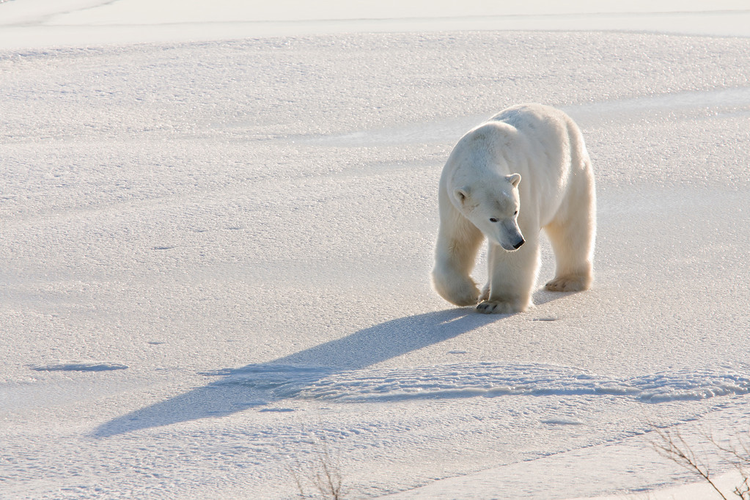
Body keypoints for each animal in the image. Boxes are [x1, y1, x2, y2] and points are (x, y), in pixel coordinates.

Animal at [431, 103, 596, 314]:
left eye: (515, 212)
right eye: (493, 218)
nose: (517, 241)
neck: (482, 148)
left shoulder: (523, 187)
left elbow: (516, 252)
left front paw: (496, 303)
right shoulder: (452, 200)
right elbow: (457, 240)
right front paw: (468, 294)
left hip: (572, 175)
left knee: (571, 227)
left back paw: (564, 281)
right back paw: (486, 290)